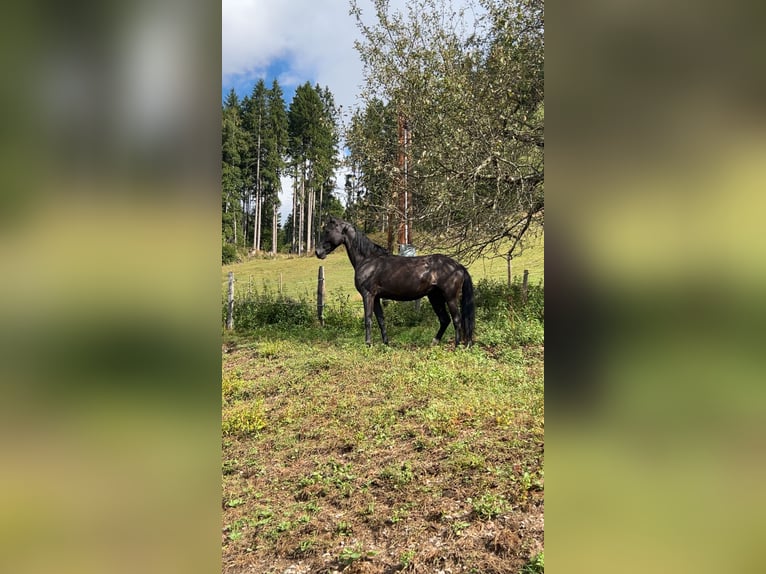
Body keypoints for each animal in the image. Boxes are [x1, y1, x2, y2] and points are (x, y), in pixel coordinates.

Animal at [315, 216, 475, 347]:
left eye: (328, 231)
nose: (318, 252)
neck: (368, 260)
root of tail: (458, 266)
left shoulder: (368, 295)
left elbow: (368, 320)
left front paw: (368, 344)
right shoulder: (376, 298)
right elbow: (381, 320)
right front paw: (386, 343)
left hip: (450, 297)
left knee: (457, 319)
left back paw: (456, 346)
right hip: (435, 297)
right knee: (444, 319)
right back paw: (434, 342)